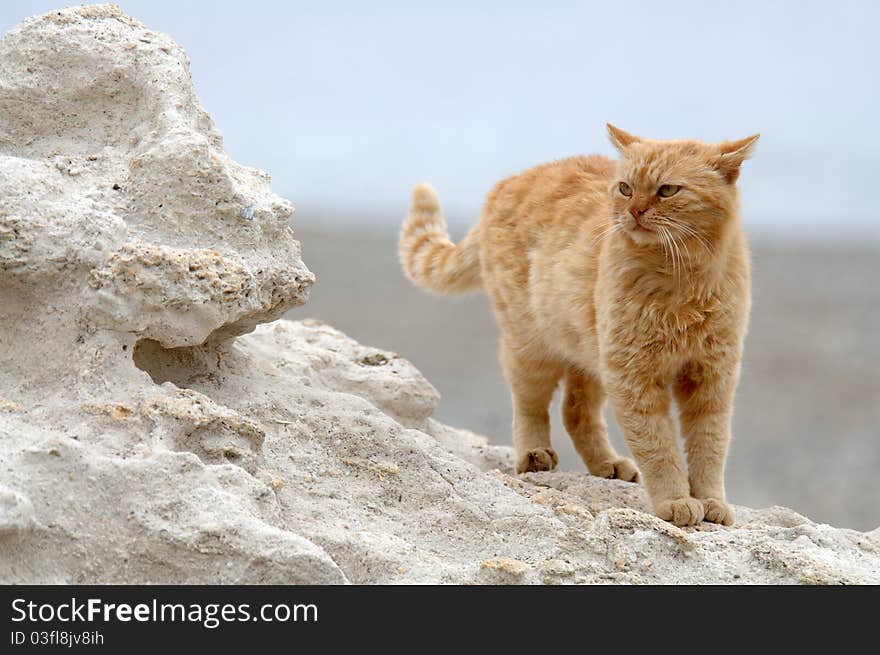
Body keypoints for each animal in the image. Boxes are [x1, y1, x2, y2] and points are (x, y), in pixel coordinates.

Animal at [398, 125, 756, 528]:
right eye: (625, 187)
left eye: (667, 190)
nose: (634, 211)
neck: (681, 279)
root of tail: (508, 182)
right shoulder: (634, 379)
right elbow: (658, 446)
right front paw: (676, 500)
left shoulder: (712, 378)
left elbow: (709, 445)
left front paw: (711, 501)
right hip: (533, 348)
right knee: (530, 404)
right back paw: (534, 455)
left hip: (590, 355)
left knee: (575, 410)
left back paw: (607, 464)